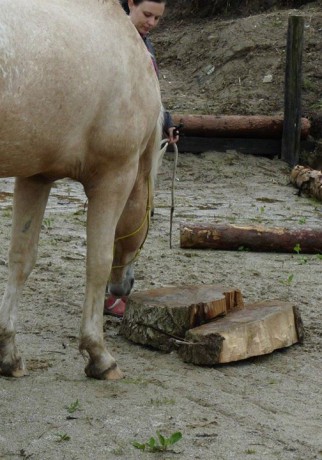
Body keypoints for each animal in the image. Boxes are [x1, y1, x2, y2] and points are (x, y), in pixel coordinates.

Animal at [0, 0, 164, 380]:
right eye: (152, 213)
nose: (125, 287)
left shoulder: (36, 177)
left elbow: (21, 258)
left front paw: (8, 352)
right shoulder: (114, 179)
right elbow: (98, 262)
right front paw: (99, 355)